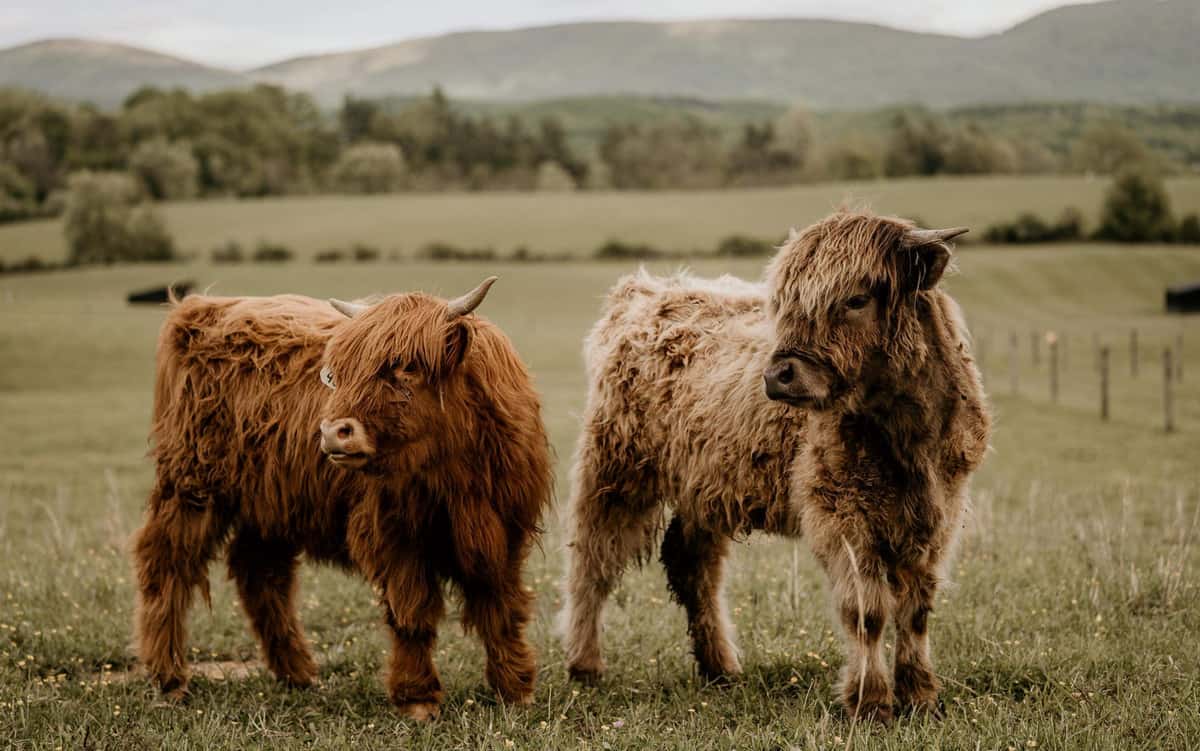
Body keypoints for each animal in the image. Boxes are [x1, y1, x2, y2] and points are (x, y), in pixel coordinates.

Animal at [132, 277, 552, 721]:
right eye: (338, 375)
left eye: (407, 367)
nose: (333, 432)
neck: (456, 478)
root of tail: (200, 308)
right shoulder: (394, 535)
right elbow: (412, 614)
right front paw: (418, 698)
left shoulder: (504, 535)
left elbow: (501, 609)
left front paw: (515, 688)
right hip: (192, 487)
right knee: (166, 562)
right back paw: (170, 678)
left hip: (271, 503)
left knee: (260, 573)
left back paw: (297, 673)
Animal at [560, 211, 991, 722]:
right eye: (785, 303)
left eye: (856, 299)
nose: (779, 375)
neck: (904, 436)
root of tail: (644, 291)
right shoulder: (839, 511)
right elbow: (866, 611)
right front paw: (870, 701)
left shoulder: (939, 511)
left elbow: (917, 607)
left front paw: (920, 695)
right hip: (615, 473)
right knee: (592, 563)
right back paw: (585, 663)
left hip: (703, 487)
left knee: (692, 566)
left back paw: (720, 667)